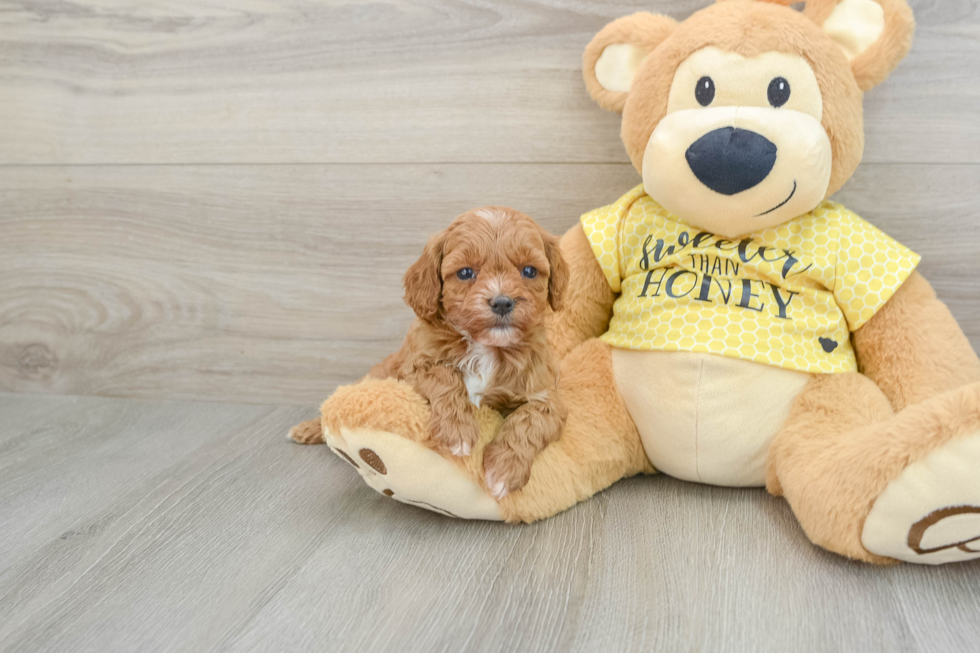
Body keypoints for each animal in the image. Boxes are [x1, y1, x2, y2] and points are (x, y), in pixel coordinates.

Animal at [378, 206, 576, 496]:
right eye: (464, 273)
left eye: (529, 270)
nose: (502, 302)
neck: (486, 346)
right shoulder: (413, 366)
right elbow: (446, 376)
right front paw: (457, 433)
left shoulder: (548, 398)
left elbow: (528, 421)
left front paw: (504, 469)